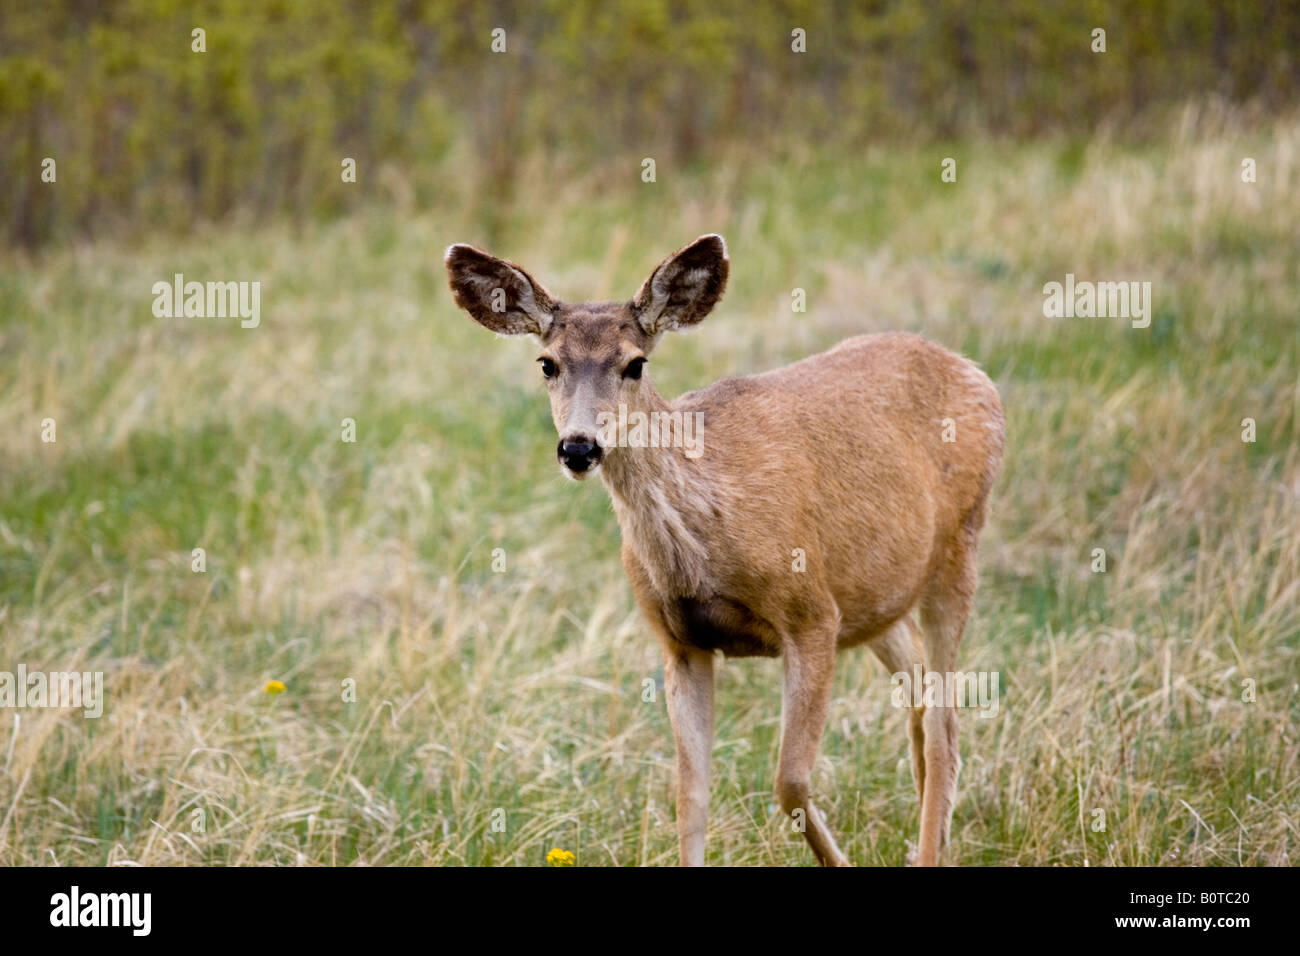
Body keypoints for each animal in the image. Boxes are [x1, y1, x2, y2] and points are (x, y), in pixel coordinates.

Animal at [445, 234, 1005, 866]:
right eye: (547, 364)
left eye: (634, 364)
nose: (580, 447)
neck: (705, 539)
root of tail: (972, 370)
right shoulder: (681, 642)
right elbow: (690, 798)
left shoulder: (812, 614)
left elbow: (789, 780)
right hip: (876, 599)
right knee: (918, 701)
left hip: (960, 544)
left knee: (942, 727)